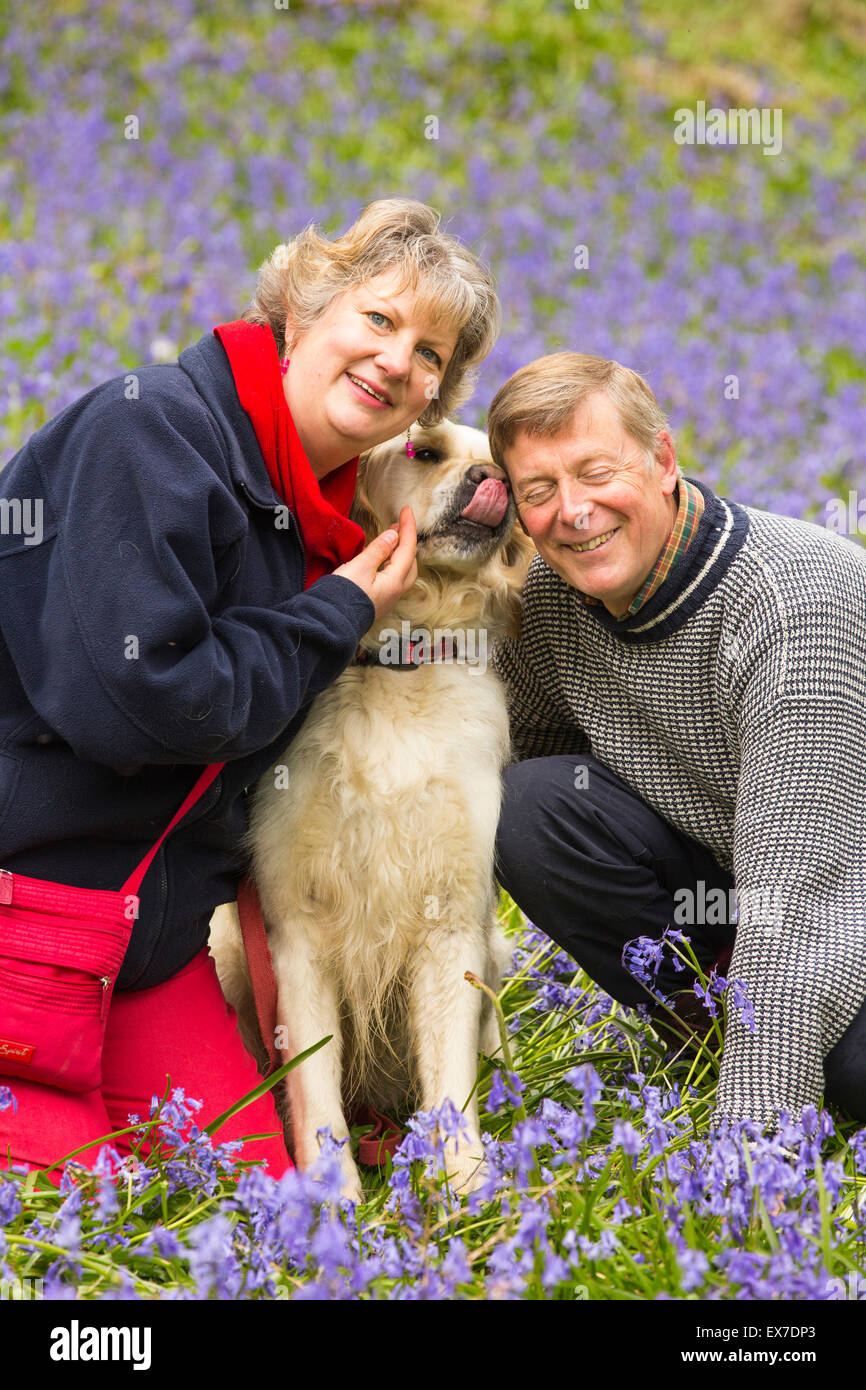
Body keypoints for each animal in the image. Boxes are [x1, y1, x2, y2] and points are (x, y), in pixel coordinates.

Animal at [211, 417, 536, 1200]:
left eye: (500, 459)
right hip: (232, 948)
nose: (495, 481)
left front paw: (465, 1187)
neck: (398, 664)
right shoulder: (294, 930)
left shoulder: (453, 918)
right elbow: (313, 1078)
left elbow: (450, 1076)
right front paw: (329, 1198)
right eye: (425, 451)